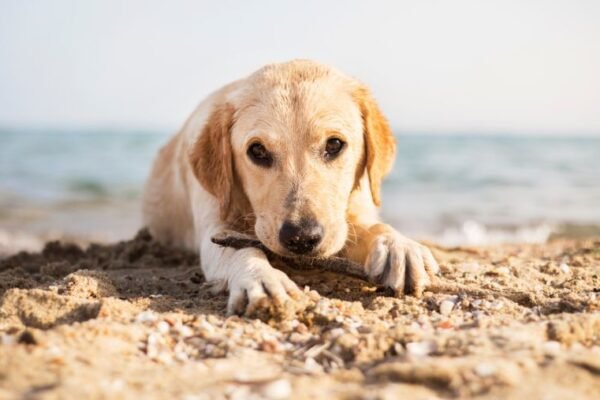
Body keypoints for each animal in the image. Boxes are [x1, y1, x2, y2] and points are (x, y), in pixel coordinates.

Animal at [143, 60, 438, 316]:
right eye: (257, 151)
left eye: (334, 144)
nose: (301, 238)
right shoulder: (214, 228)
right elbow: (242, 249)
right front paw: (262, 278)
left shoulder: (353, 212)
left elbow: (373, 226)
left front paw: (398, 246)